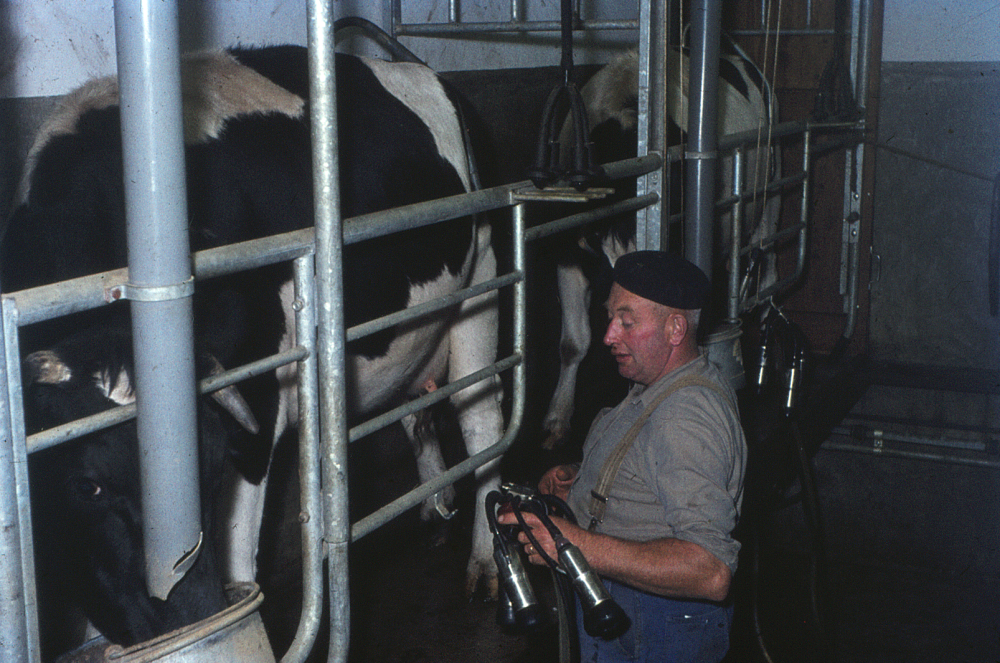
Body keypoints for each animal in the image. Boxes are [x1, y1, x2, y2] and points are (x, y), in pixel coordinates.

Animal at [3, 46, 504, 652]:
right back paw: (435, 507)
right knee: (418, 409)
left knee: (481, 417)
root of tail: (424, 72)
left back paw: (486, 562)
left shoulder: (257, 401)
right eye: (87, 486)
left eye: (212, 471)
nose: (190, 617)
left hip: (481, 280)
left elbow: (240, 555)